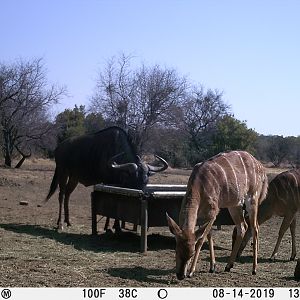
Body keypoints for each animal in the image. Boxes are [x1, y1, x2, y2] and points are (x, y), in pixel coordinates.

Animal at [166, 151, 268, 280]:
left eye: (192, 254)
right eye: (176, 250)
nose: (180, 275)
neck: (199, 185)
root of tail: (262, 168)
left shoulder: (213, 213)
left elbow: (201, 239)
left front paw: (191, 271)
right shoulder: (202, 217)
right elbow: (209, 235)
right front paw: (212, 267)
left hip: (252, 198)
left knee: (255, 227)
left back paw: (254, 269)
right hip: (234, 204)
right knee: (243, 227)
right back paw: (228, 266)